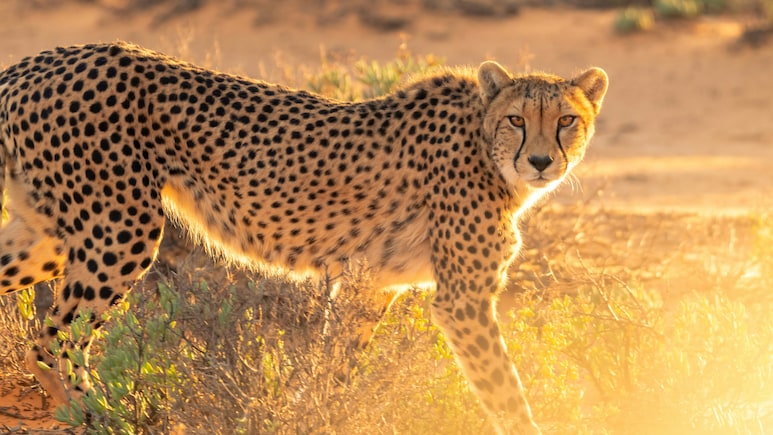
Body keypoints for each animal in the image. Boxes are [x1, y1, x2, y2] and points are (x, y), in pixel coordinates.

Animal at [0, 41, 607, 434]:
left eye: (566, 121)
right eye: (517, 119)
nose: (541, 161)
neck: (484, 144)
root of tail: (36, 61)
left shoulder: (370, 286)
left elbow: (334, 370)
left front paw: (312, 415)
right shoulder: (463, 301)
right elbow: (505, 391)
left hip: (49, 235)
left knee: (39, 329)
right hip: (120, 229)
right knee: (56, 339)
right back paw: (97, 416)